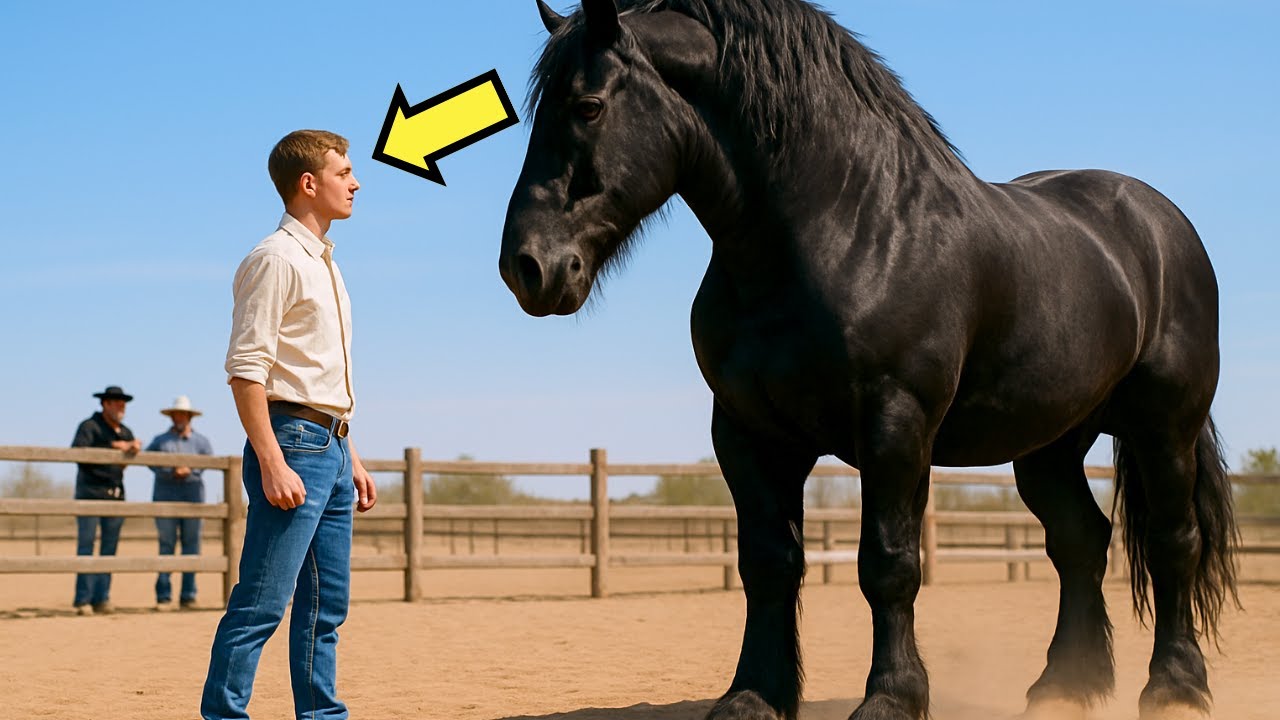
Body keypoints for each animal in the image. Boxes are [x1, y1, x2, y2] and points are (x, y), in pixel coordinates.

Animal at [499, 1, 1239, 718]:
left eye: (588, 105)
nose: (527, 267)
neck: (846, 230)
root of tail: (1157, 221)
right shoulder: (746, 434)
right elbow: (767, 564)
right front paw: (753, 696)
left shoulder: (894, 427)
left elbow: (888, 564)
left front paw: (892, 697)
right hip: (1049, 445)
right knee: (1080, 542)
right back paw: (1064, 688)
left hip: (1164, 427)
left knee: (1175, 542)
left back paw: (1175, 688)